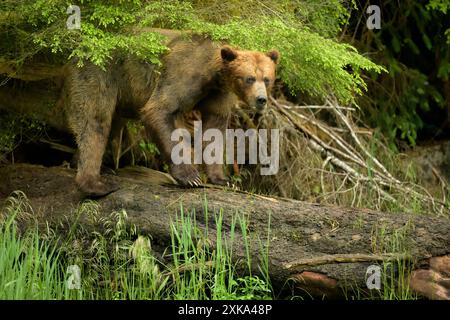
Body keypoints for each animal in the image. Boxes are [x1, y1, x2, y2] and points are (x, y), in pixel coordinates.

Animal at [61, 30, 280, 196]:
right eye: (249, 78)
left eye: (267, 79)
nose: (261, 99)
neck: (212, 76)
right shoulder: (182, 75)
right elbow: (158, 110)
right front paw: (190, 176)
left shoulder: (218, 95)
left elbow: (214, 131)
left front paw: (222, 179)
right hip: (100, 74)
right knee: (95, 120)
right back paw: (95, 183)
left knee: (112, 124)